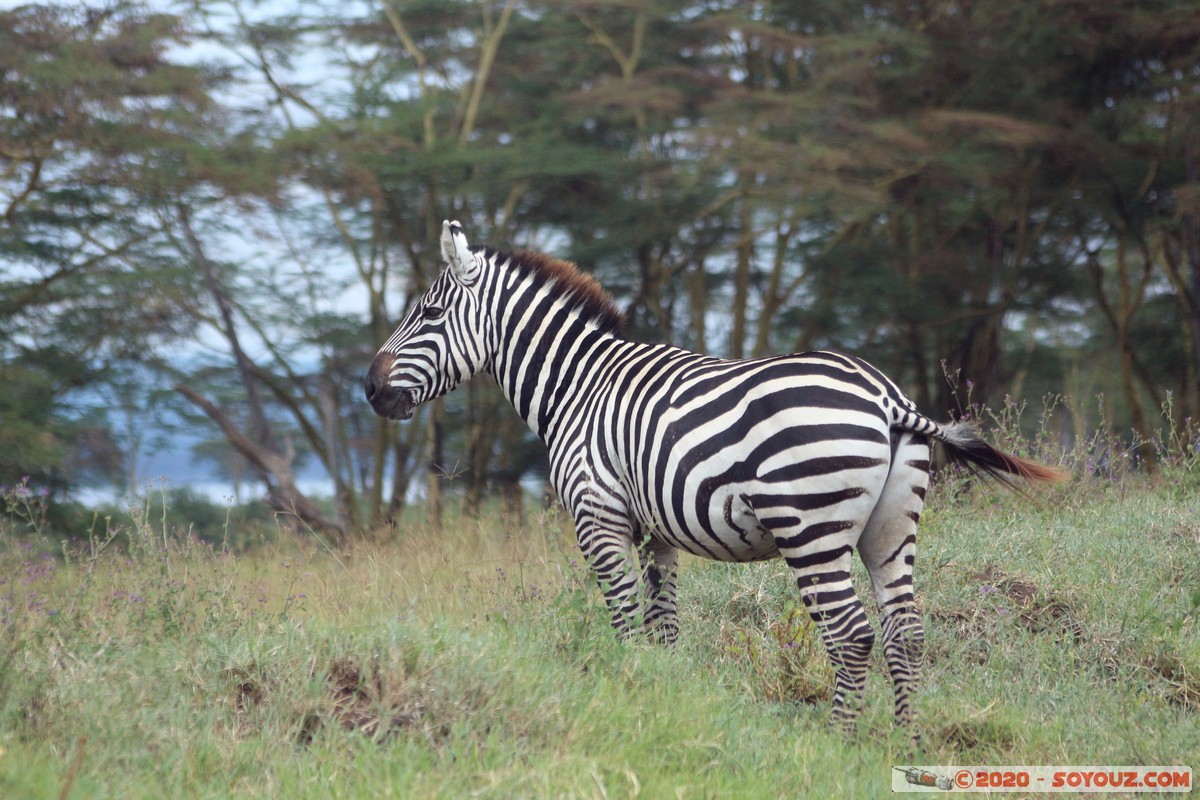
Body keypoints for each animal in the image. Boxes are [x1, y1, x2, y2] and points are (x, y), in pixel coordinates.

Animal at [360, 221, 1065, 734]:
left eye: (428, 314)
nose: (368, 389)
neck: (578, 387)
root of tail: (888, 397)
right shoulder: (657, 533)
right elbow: (664, 626)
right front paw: (661, 701)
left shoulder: (598, 517)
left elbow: (624, 620)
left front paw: (628, 693)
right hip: (891, 528)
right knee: (906, 634)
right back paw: (906, 741)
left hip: (811, 531)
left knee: (851, 635)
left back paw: (843, 739)